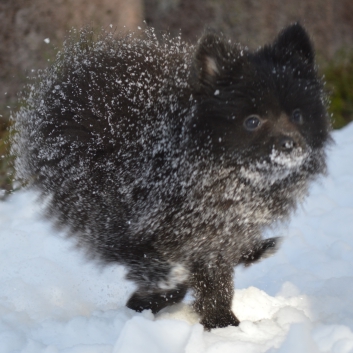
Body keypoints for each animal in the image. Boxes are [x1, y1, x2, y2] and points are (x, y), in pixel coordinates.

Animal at [11, 23, 330, 328]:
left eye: (298, 115)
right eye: (252, 121)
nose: (290, 144)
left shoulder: (215, 228)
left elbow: (213, 277)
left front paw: (221, 323)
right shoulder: (134, 214)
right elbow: (147, 259)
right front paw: (156, 296)